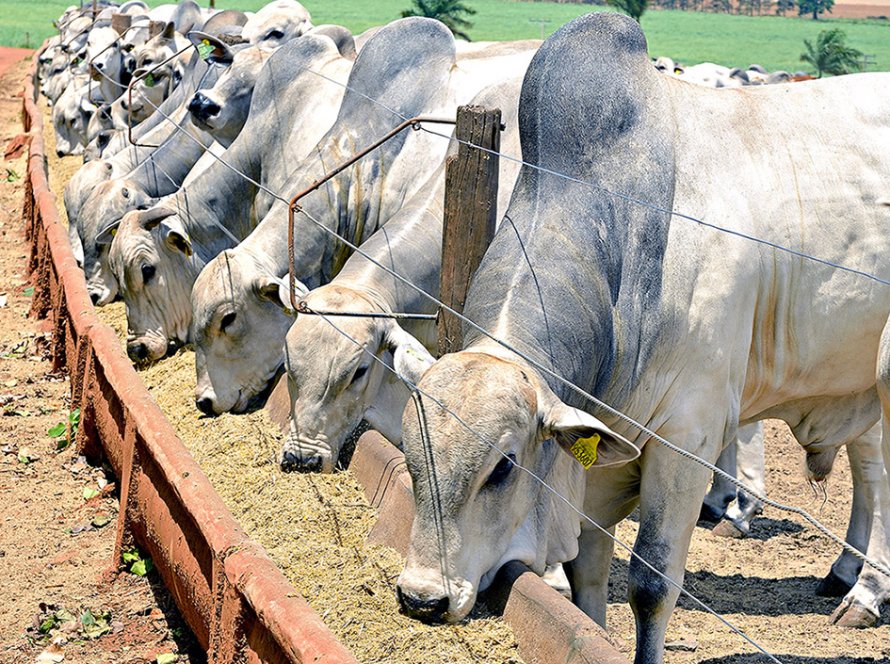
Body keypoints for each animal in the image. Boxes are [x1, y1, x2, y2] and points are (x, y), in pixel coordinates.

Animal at [392, 10, 888, 660]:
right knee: (872, 466)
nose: (421, 598)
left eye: (502, 467)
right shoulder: (600, 450)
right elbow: (586, 570)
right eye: (410, 456)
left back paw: (867, 592)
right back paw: (848, 576)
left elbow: (651, 584)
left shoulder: (688, 436)